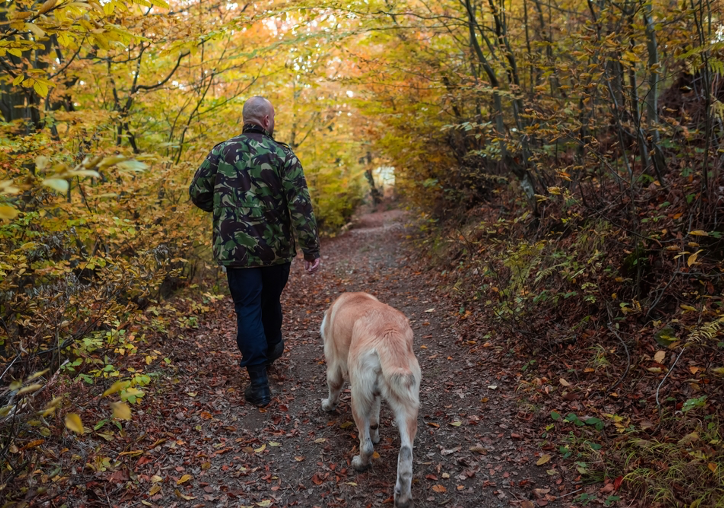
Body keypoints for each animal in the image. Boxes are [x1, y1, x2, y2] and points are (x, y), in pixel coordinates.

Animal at [320, 292, 422, 506]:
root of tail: (388, 335)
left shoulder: (334, 365)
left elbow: (333, 387)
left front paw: (327, 405)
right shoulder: (375, 396)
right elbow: (374, 419)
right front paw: (376, 435)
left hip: (357, 398)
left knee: (365, 445)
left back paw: (360, 463)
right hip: (407, 407)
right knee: (406, 453)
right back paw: (402, 497)